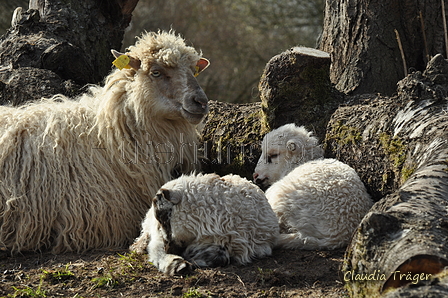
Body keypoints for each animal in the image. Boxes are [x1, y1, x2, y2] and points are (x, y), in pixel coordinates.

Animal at [128, 173, 280, 276]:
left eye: (164, 216)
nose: (169, 248)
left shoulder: (260, 247)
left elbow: (222, 256)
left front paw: (193, 257)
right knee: (153, 248)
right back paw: (176, 264)